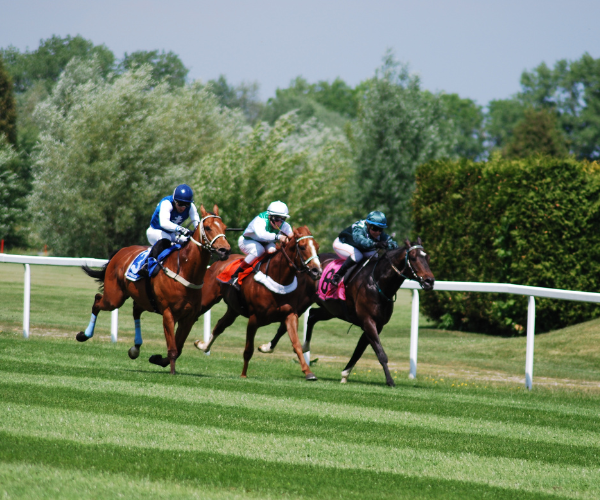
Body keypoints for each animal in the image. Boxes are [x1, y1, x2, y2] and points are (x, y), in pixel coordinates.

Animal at [76, 204, 231, 376]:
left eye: (224, 227)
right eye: (208, 227)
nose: (225, 250)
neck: (185, 269)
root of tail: (121, 252)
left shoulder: (189, 317)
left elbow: (179, 347)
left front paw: (158, 359)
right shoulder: (169, 313)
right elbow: (173, 348)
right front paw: (172, 372)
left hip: (142, 298)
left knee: (136, 310)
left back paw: (135, 348)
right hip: (114, 298)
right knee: (97, 300)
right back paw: (84, 335)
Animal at [192, 226, 324, 378]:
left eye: (317, 247)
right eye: (302, 247)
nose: (317, 271)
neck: (278, 280)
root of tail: (218, 262)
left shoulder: (290, 315)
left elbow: (296, 344)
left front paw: (308, 372)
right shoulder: (254, 319)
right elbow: (249, 349)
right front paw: (243, 375)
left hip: (233, 309)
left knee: (220, 325)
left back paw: (202, 345)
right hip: (207, 300)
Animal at [256, 238, 432, 386]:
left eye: (428, 257)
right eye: (414, 258)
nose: (430, 281)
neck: (377, 282)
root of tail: (306, 266)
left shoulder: (375, 325)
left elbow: (359, 351)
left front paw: (345, 374)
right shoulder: (368, 321)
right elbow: (380, 353)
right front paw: (390, 381)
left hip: (330, 309)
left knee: (312, 315)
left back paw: (305, 346)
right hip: (302, 302)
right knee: (285, 324)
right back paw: (268, 347)